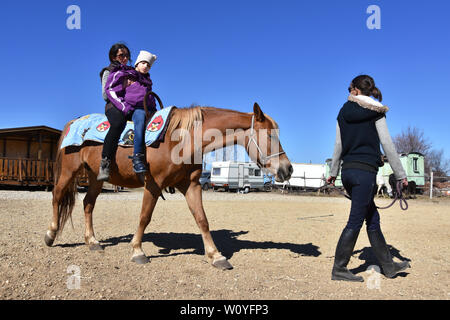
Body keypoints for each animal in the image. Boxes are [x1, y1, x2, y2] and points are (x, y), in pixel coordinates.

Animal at [44, 104, 294, 268]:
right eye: (270, 135)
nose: (288, 169)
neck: (181, 140)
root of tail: (73, 123)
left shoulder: (191, 186)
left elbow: (202, 219)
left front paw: (215, 255)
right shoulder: (153, 185)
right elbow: (144, 217)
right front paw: (137, 251)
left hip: (96, 177)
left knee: (88, 204)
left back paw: (93, 241)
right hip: (68, 172)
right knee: (57, 196)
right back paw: (50, 235)